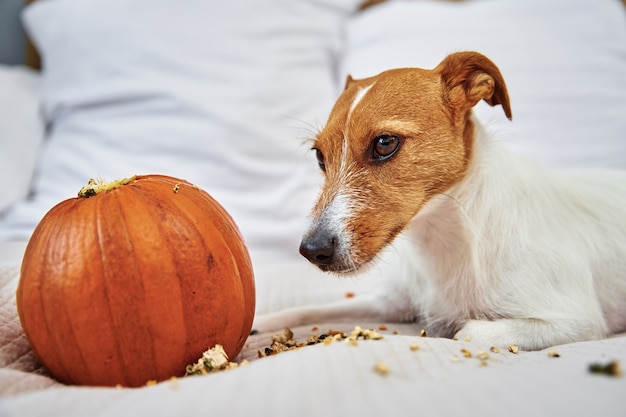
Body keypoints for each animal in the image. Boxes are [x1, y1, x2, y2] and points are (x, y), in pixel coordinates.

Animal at [252, 52, 624, 352]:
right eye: (319, 156)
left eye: (385, 143)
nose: (312, 250)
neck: (443, 239)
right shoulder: (391, 302)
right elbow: (309, 309)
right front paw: (261, 322)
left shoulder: (574, 320)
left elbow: (466, 331)